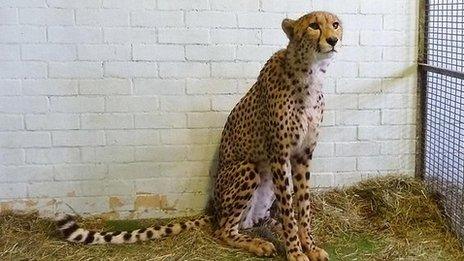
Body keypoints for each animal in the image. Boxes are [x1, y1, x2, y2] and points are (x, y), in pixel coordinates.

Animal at [57, 11, 340, 260]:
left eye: (335, 24)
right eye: (314, 25)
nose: (333, 40)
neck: (310, 72)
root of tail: (215, 209)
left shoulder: (303, 154)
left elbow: (302, 206)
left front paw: (309, 245)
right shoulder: (280, 155)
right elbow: (291, 211)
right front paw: (295, 251)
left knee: (250, 221)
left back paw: (269, 227)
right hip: (249, 168)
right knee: (224, 230)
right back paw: (259, 244)